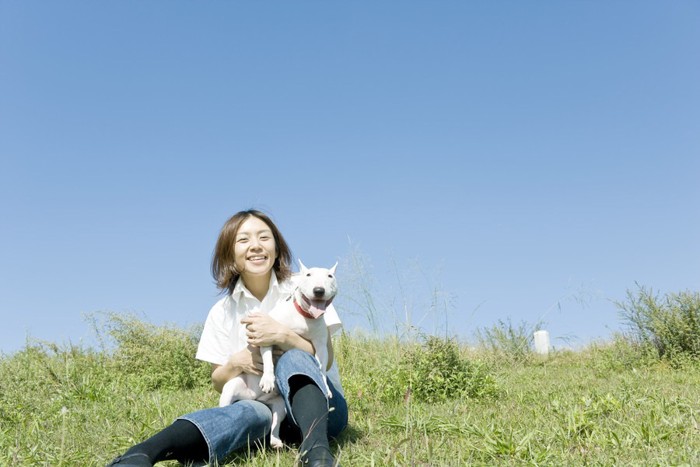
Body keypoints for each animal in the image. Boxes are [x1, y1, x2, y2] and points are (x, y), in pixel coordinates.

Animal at [219, 262, 340, 448]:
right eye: (308, 275)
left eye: (330, 276)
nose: (319, 290)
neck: (304, 316)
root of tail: (256, 398)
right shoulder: (266, 335)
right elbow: (268, 361)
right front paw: (268, 380)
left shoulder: (321, 345)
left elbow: (321, 367)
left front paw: (325, 387)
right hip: (232, 387)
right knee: (225, 404)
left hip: (280, 405)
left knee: (275, 423)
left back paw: (276, 441)